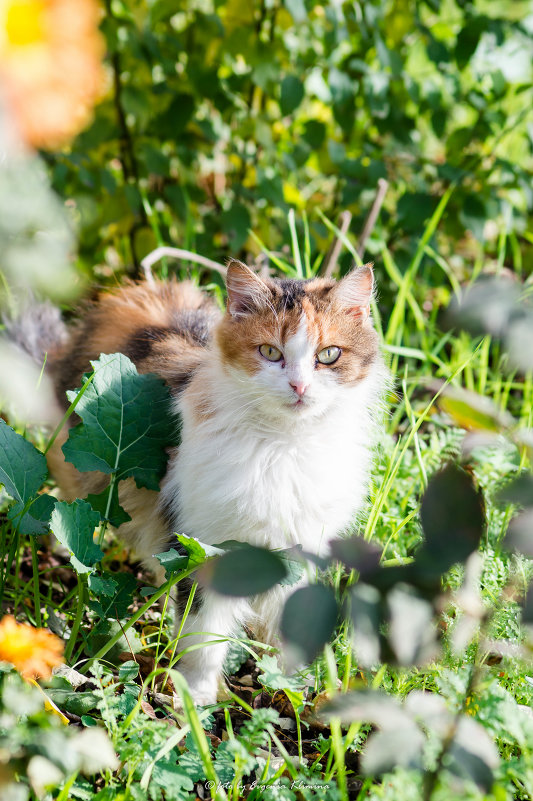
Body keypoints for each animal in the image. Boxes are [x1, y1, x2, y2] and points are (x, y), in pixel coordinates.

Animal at [16, 260, 384, 700]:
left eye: (328, 355)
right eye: (270, 352)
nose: (299, 386)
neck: (284, 445)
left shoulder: (300, 549)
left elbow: (290, 628)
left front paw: (291, 690)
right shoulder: (204, 547)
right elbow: (203, 635)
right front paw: (196, 698)